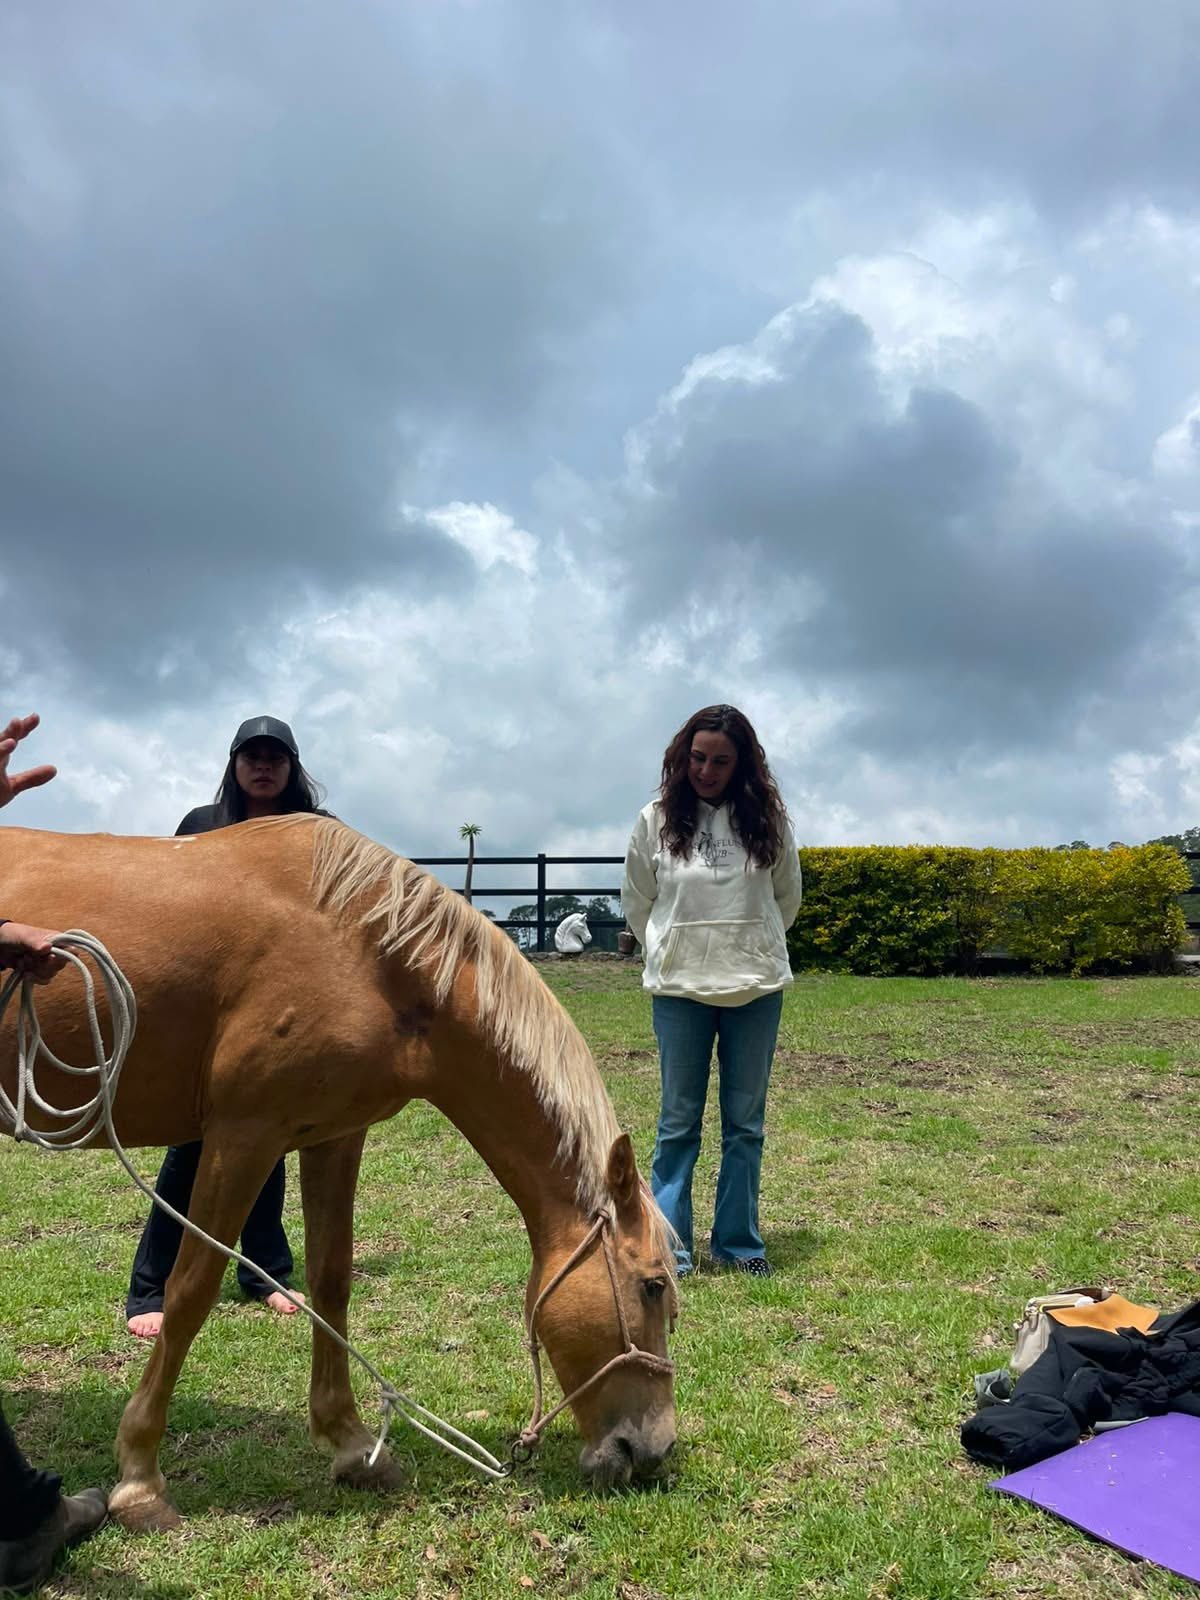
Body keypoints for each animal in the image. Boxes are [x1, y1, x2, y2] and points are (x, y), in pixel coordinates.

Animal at [0, 815, 678, 1531]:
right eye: (653, 1286)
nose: (655, 1451)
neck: (366, 949)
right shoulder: (244, 1134)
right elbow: (191, 1291)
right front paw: (139, 1477)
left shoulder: (333, 1136)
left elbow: (331, 1280)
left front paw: (353, 1446)